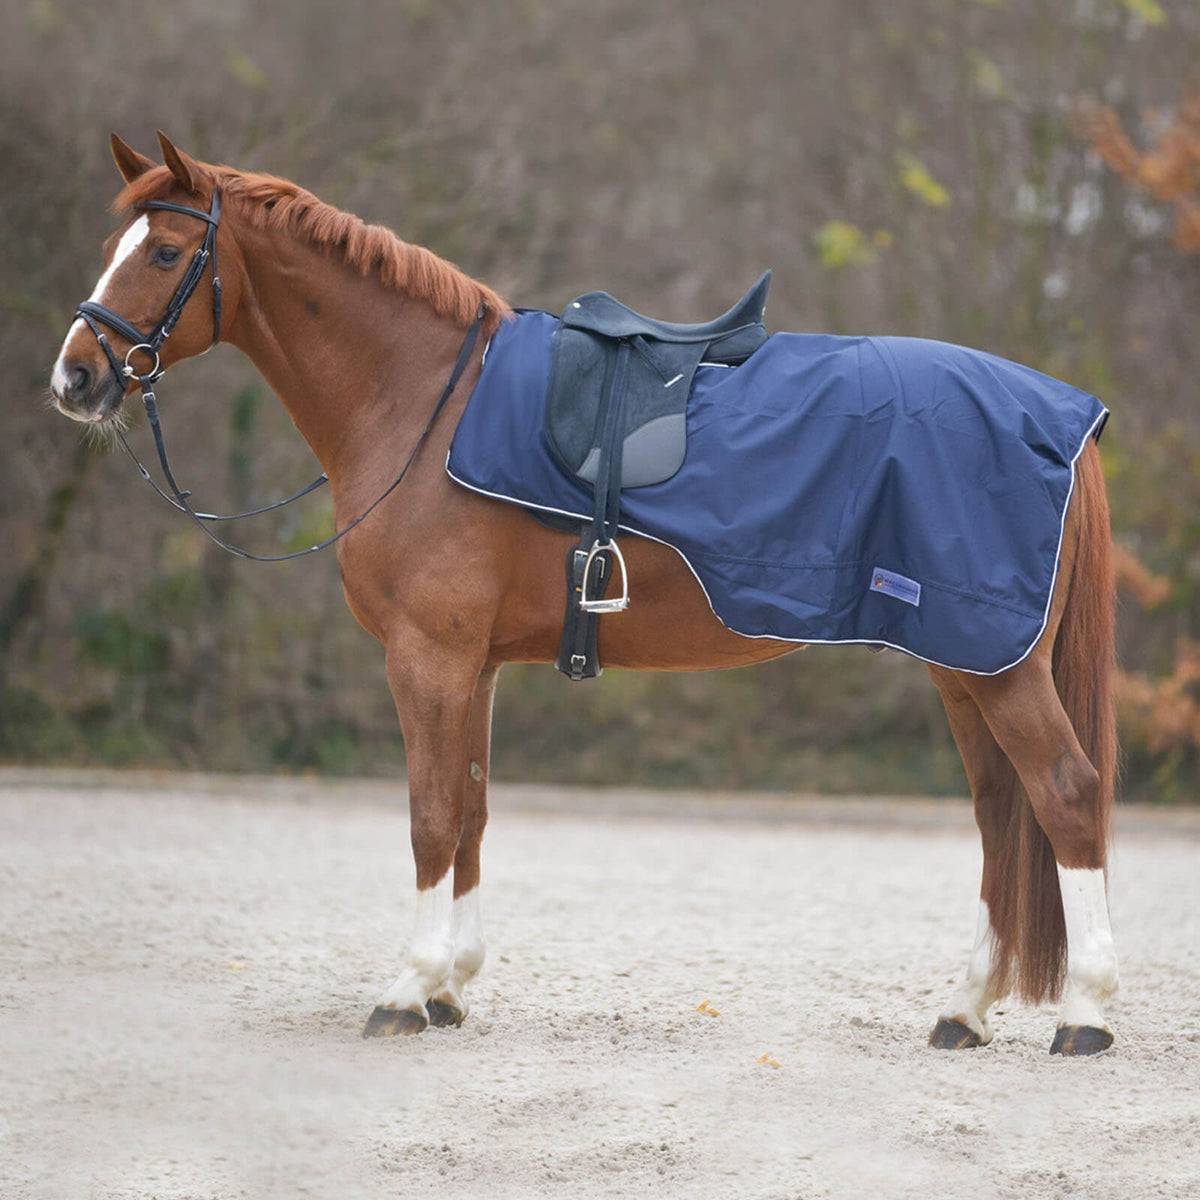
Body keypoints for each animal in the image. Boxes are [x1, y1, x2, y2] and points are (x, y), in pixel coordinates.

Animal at [49, 133, 1119, 1055]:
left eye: (167, 251)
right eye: (113, 248)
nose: (74, 377)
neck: (422, 401)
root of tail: (1062, 417)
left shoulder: (428, 656)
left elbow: (430, 815)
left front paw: (406, 989)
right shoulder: (474, 664)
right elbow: (472, 811)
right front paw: (451, 987)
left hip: (997, 666)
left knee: (1065, 795)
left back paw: (1087, 1014)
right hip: (961, 662)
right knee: (1000, 812)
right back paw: (966, 1008)